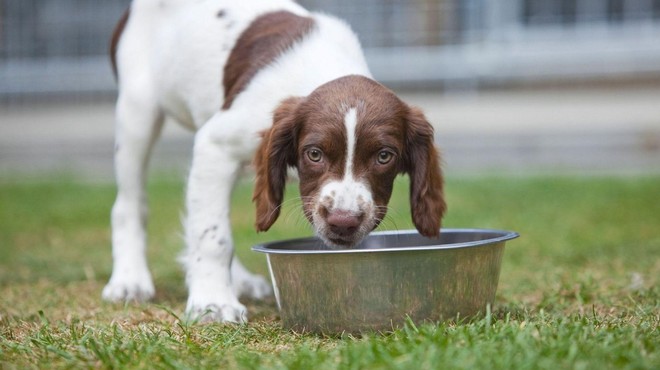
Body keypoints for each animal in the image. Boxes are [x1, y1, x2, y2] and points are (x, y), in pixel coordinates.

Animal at [103, 0, 446, 324]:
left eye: (384, 156)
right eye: (314, 154)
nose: (343, 222)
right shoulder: (215, 146)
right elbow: (213, 236)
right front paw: (212, 303)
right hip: (138, 112)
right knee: (129, 205)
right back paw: (130, 280)